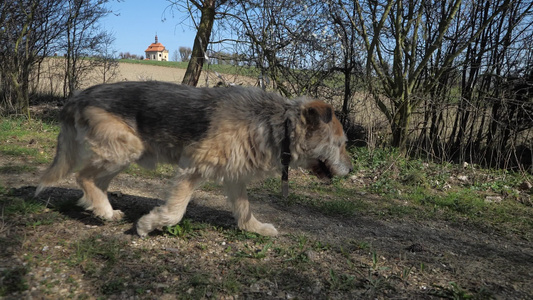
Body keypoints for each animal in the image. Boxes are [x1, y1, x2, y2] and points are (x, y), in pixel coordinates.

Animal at [37, 82, 354, 237]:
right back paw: (102, 210)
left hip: (121, 152)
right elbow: (176, 211)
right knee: (83, 176)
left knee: (96, 180)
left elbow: (244, 209)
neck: (278, 123)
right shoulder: (193, 167)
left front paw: (255, 229)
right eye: (341, 144)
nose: (351, 170)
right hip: (126, 148)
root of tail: (76, 97)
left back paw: (104, 209)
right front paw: (150, 225)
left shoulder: (235, 176)